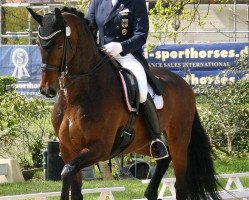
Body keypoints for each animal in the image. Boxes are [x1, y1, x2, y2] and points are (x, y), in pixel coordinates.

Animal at [27, 6, 222, 200]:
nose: (47, 89)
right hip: (142, 142)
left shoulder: (100, 147)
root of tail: (184, 84)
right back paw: (150, 191)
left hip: (179, 140)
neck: (74, 98)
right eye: (38, 45)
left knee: (180, 183)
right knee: (164, 156)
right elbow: (72, 182)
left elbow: (67, 171)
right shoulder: (68, 149)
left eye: (60, 45)